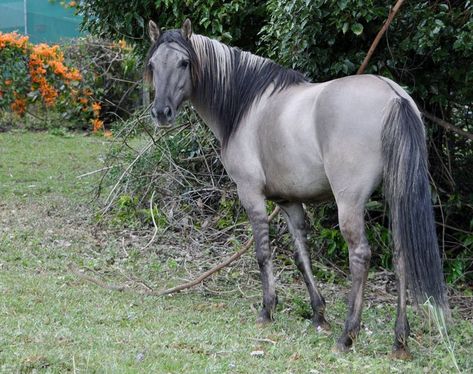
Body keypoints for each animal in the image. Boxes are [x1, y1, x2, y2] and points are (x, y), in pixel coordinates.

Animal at [146, 19, 448, 358]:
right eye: (153, 65)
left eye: (184, 63)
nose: (161, 113)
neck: (247, 107)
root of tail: (394, 95)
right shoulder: (289, 203)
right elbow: (302, 256)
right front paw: (319, 314)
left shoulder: (250, 194)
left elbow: (263, 253)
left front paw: (267, 310)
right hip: (396, 196)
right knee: (401, 256)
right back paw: (399, 341)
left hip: (349, 203)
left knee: (360, 255)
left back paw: (347, 336)